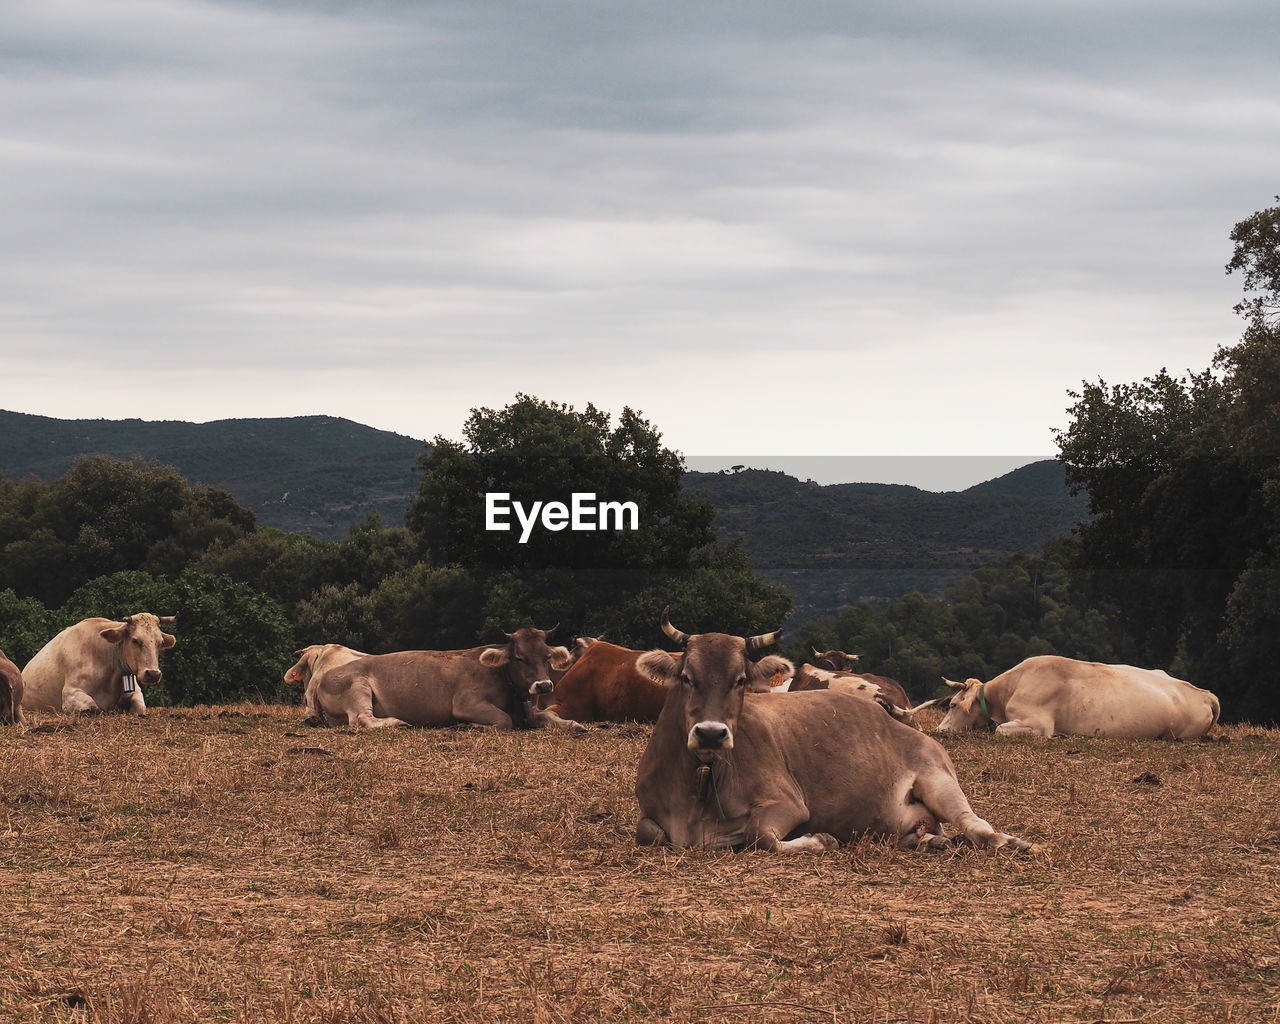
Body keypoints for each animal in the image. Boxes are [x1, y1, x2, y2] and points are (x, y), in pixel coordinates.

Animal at [23, 611, 176, 716]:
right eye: (135, 640)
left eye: (160, 642)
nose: (153, 674)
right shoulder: (69, 694)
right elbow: (93, 707)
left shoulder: (136, 692)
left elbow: (140, 708)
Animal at [309, 627, 581, 732]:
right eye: (519, 657)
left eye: (547, 656)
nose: (543, 685)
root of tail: (322, 679)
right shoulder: (466, 704)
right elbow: (504, 721)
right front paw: (469, 726)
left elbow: (549, 716)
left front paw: (574, 724)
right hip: (357, 687)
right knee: (361, 719)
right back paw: (398, 722)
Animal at [634, 609, 1034, 855]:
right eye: (687, 677)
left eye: (741, 680)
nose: (711, 734)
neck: (700, 781)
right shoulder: (650, 815)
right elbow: (648, 832)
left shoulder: (787, 803)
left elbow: (758, 835)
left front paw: (820, 839)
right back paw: (932, 843)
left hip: (939, 780)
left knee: (975, 824)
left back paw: (1011, 843)